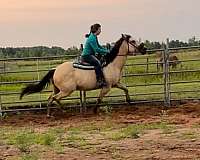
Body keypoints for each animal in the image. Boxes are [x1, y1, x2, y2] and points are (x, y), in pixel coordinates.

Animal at [19, 34, 147, 115]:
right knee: (55, 98)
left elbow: (126, 89)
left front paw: (129, 101)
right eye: (133, 41)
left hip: (57, 89)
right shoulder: (107, 87)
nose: (144, 49)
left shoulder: (115, 84)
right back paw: (63, 110)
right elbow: (99, 99)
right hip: (67, 90)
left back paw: (50, 113)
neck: (111, 64)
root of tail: (55, 69)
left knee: (50, 98)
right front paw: (94, 110)